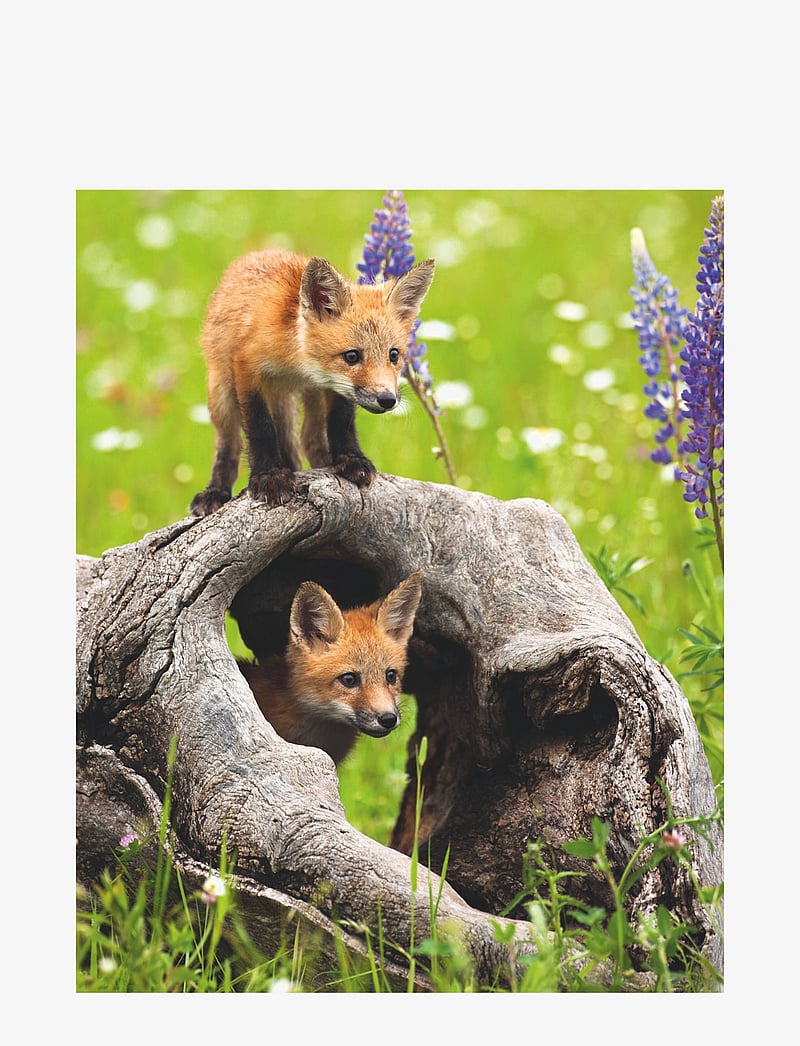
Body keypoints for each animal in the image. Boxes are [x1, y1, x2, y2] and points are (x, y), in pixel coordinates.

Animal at [189, 248, 435, 516]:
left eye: (394, 355)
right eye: (352, 356)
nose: (387, 399)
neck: (297, 362)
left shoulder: (334, 387)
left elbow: (341, 423)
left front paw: (351, 459)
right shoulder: (246, 366)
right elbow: (260, 428)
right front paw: (269, 475)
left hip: (312, 398)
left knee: (310, 438)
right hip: (221, 391)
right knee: (229, 444)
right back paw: (216, 492)